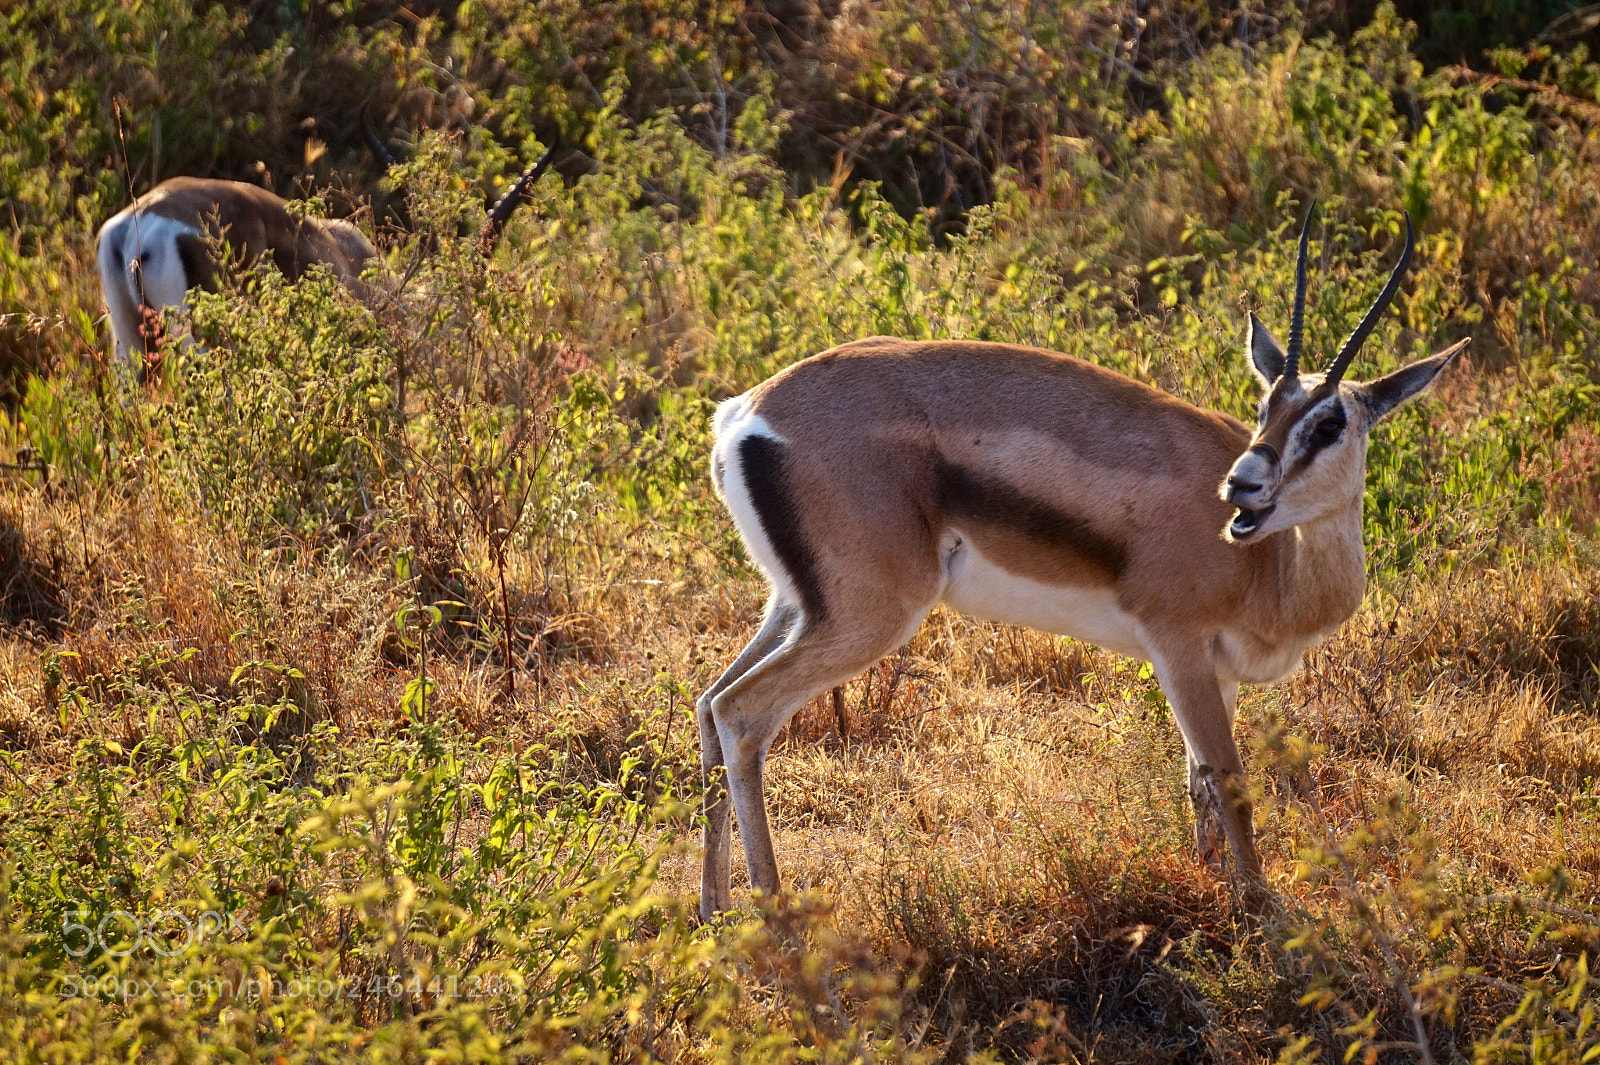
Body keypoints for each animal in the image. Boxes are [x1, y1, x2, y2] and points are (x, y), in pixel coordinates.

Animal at [696, 208, 1468, 919]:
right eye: (1265, 406)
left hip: (796, 606)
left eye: (1329, 422)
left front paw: (1213, 888)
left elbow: (1198, 783)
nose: (1242, 484)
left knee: (708, 702)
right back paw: (777, 918)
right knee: (742, 712)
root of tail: (748, 412)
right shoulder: (1177, 647)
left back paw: (714, 911)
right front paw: (1259, 912)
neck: (1275, 570)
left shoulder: (1218, 671)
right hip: (870, 617)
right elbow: (1229, 779)